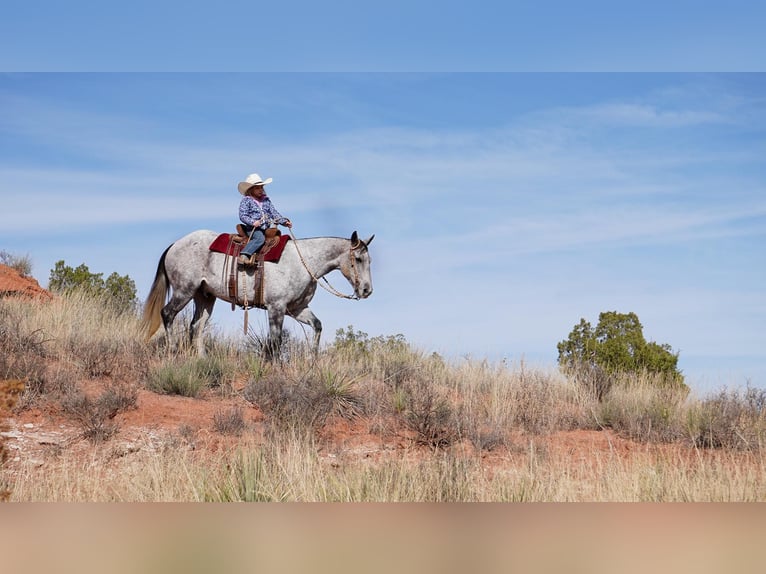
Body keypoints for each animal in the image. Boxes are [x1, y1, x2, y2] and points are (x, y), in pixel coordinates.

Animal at [143, 228, 376, 356]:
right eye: (358, 259)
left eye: (369, 260)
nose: (366, 290)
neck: (304, 262)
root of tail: (175, 245)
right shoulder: (276, 308)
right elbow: (275, 342)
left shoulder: (297, 309)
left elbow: (317, 326)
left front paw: (312, 360)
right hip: (184, 291)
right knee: (168, 314)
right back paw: (173, 351)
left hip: (205, 297)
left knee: (196, 327)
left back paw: (202, 359)